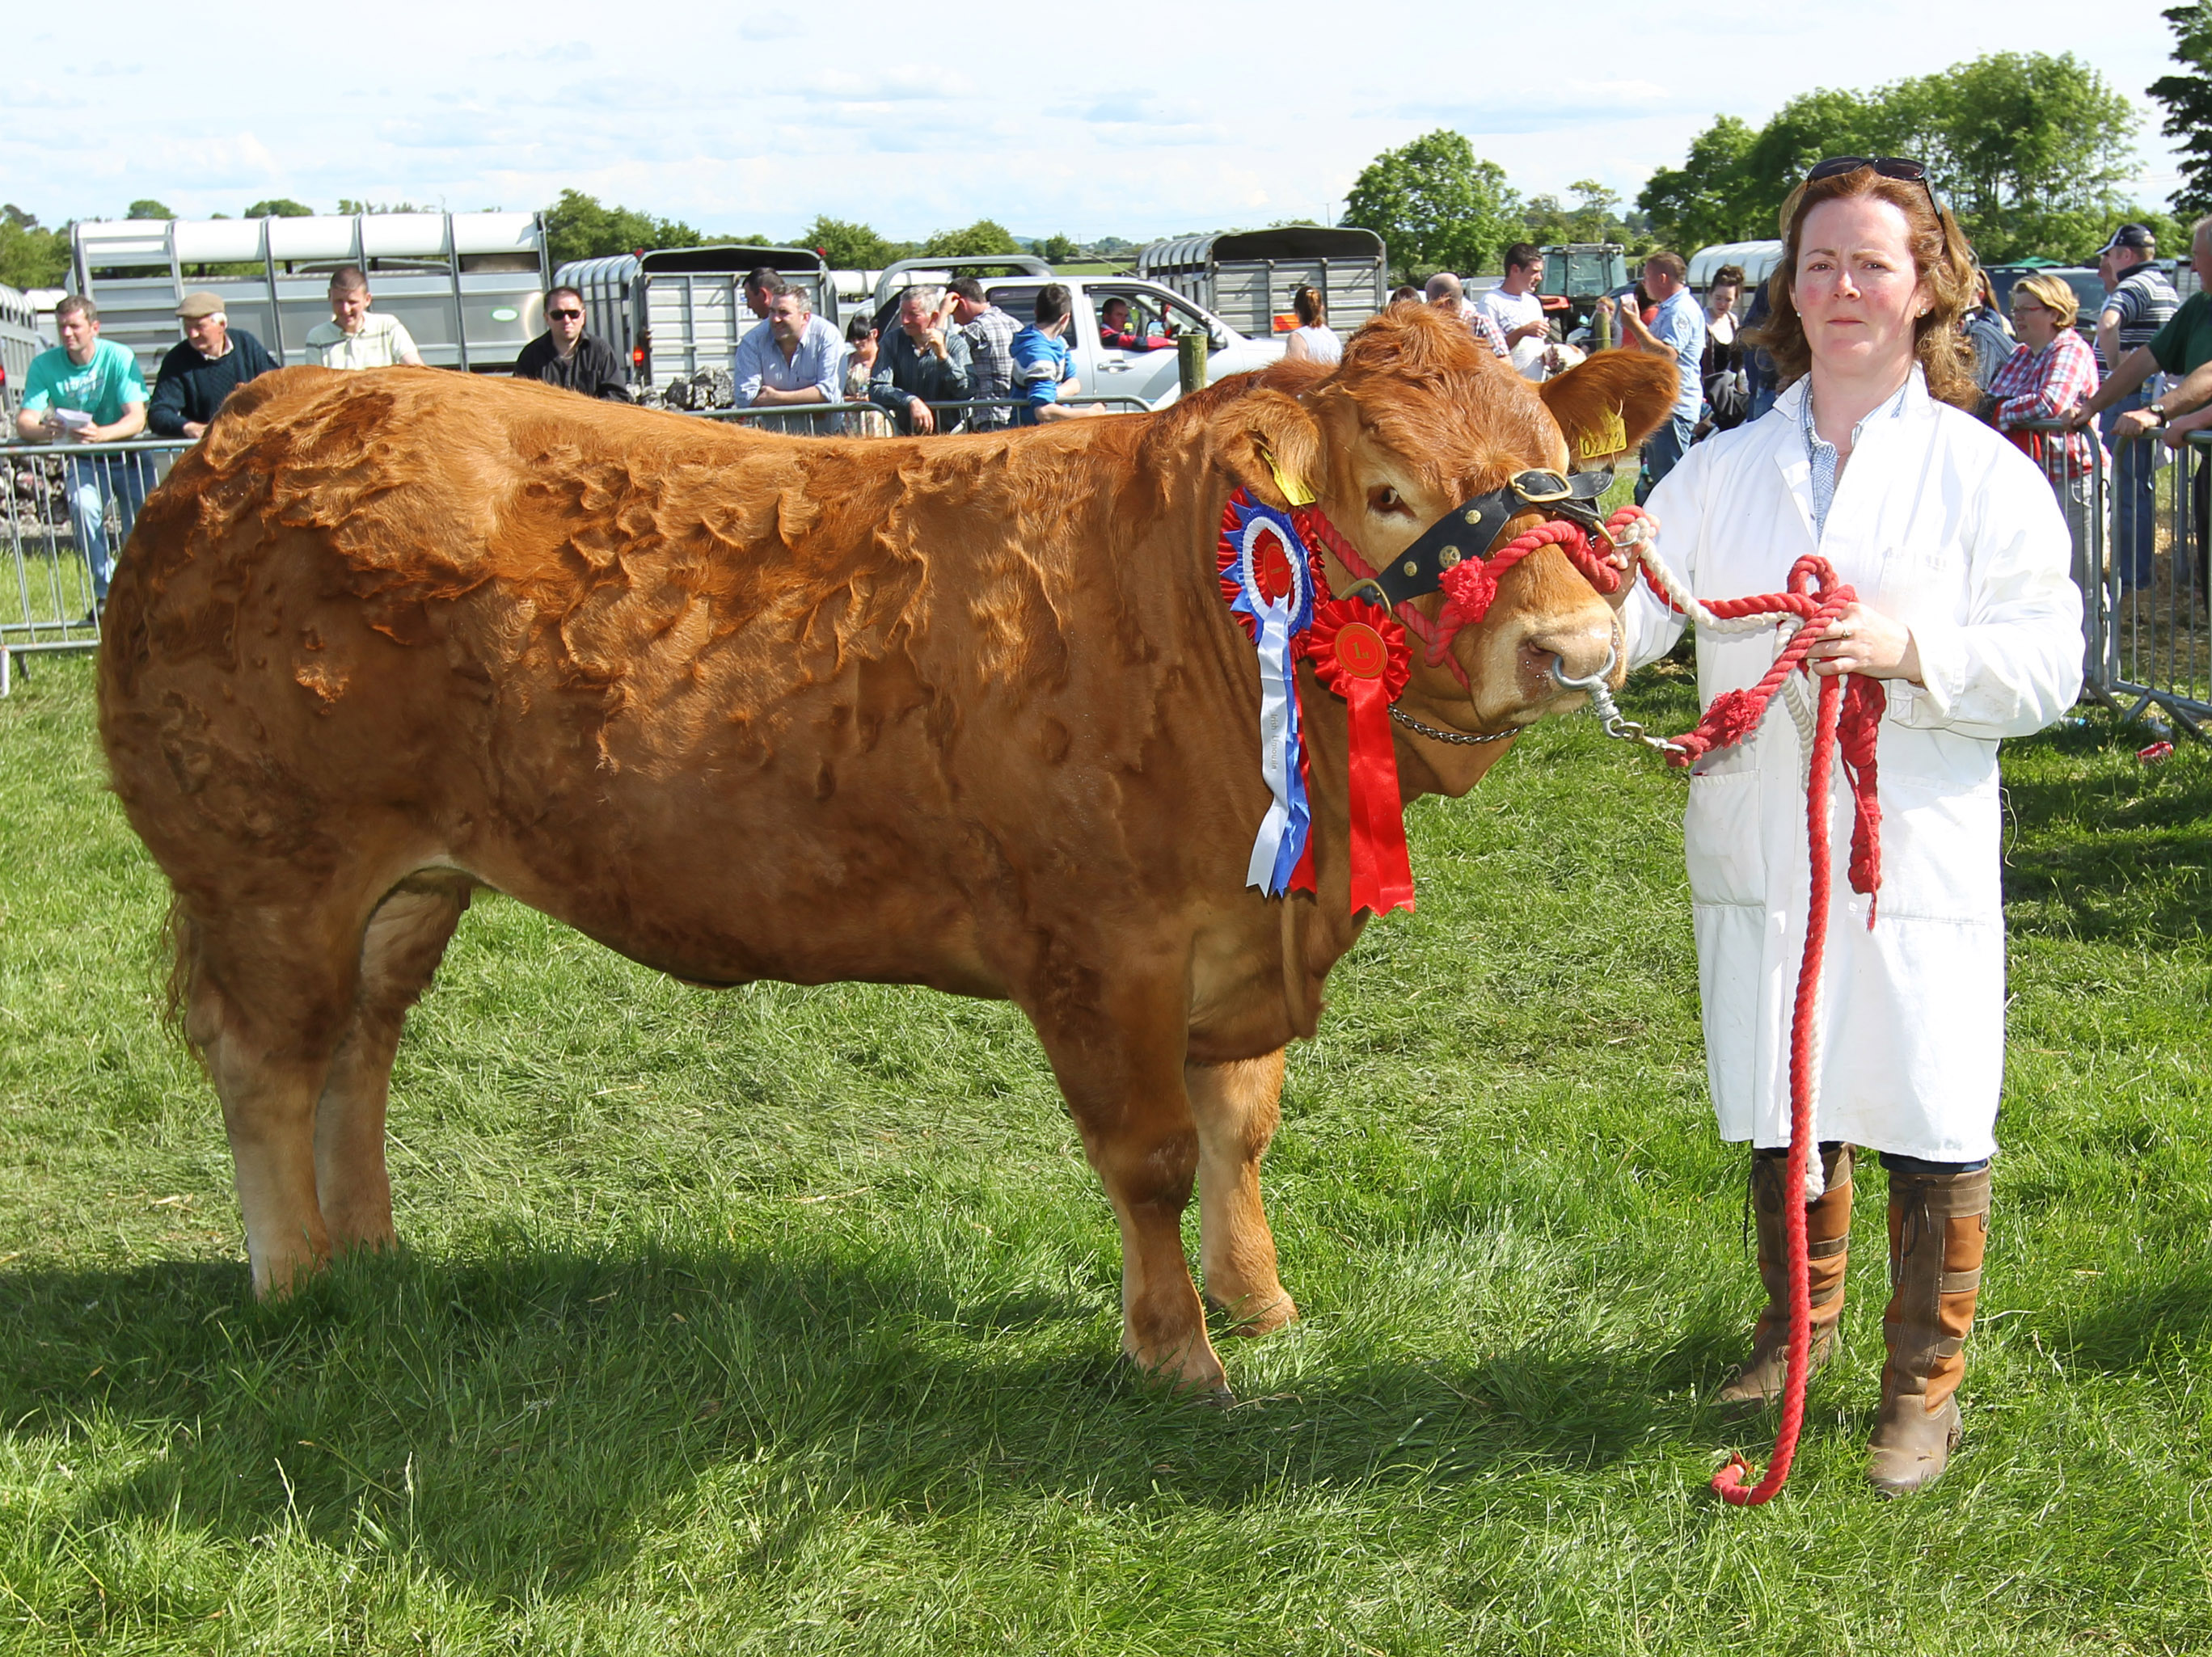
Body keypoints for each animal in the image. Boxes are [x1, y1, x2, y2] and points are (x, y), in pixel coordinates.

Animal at [95, 302, 1663, 1389]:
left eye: (1551, 467)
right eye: (1388, 491)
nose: (1577, 647)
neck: (1199, 612)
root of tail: (280, 406)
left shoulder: (1235, 935)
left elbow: (1244, 1129)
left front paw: (1261, 1301)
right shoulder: (1101, 951)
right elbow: (1152, 1157)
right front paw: (1176, 1350)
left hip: (410, 881)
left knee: (360, 1045)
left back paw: (370, 1245)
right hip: (269, 869)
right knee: (268, 1062)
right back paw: (298, 1277)